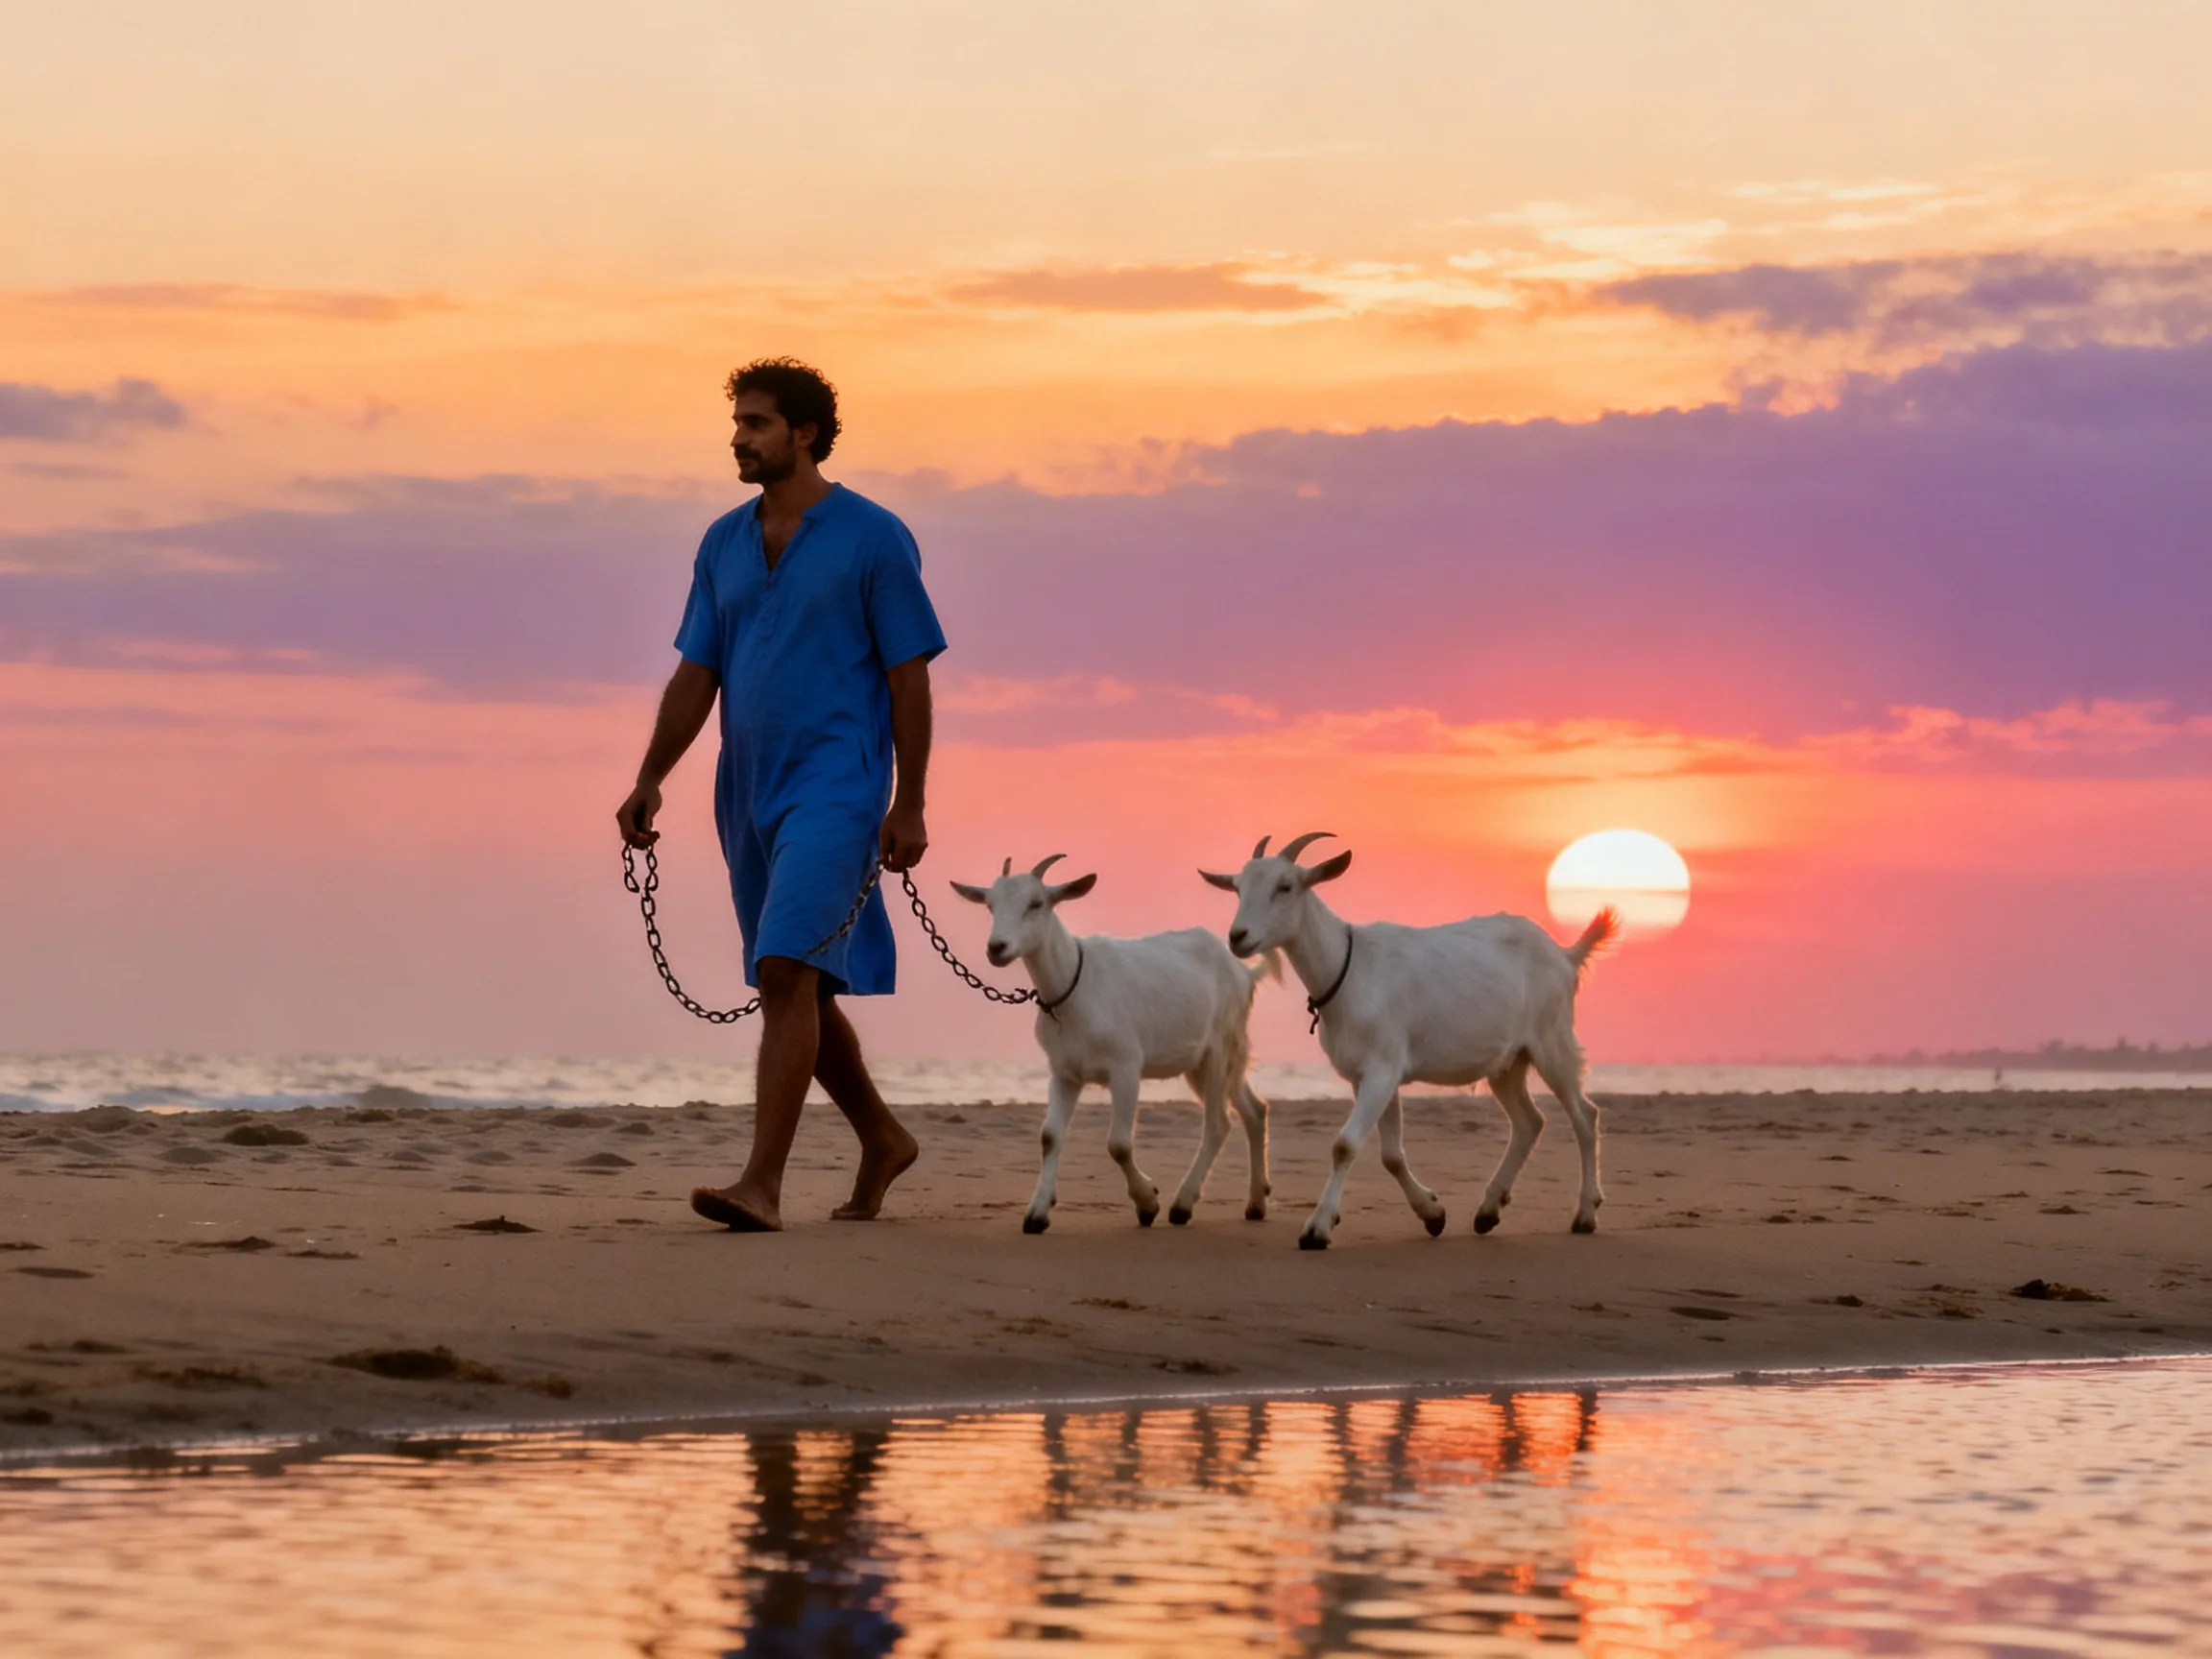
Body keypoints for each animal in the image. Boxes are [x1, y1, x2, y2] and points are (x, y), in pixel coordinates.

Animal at [951, 855, 1277, 1234]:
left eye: (1036, 903)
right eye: (990, 905)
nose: (997, 948)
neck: (1074, 988)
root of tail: (1244, 973)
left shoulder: (1125, 1068)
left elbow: (1119, 1145)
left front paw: (1148, 1203)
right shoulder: (1064, 1073)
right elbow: (1049, 1136)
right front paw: (1036, 1214)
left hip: (1220, 1048)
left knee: (1218, 1124)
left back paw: (1182, 1205)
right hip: (1206, 1061)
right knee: (1254, 1110)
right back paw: (1255, 1204)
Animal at [1201, 833, 1617, 1250]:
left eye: (1285, 886)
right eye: (1237, 888)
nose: (1237, 937)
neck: (1348, 969)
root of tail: (1565, 955)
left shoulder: (1382, 1070)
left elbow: (1345, 1144)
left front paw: (1316, 1230)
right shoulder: (1368, 1076)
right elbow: (1391, 1155)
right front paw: (1433, 1214)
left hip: (1552, 1040)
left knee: (1584, 1115)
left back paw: (1584, 1215)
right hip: (1508, 1061)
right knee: (1530, 1121)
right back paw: (1487, 1211)